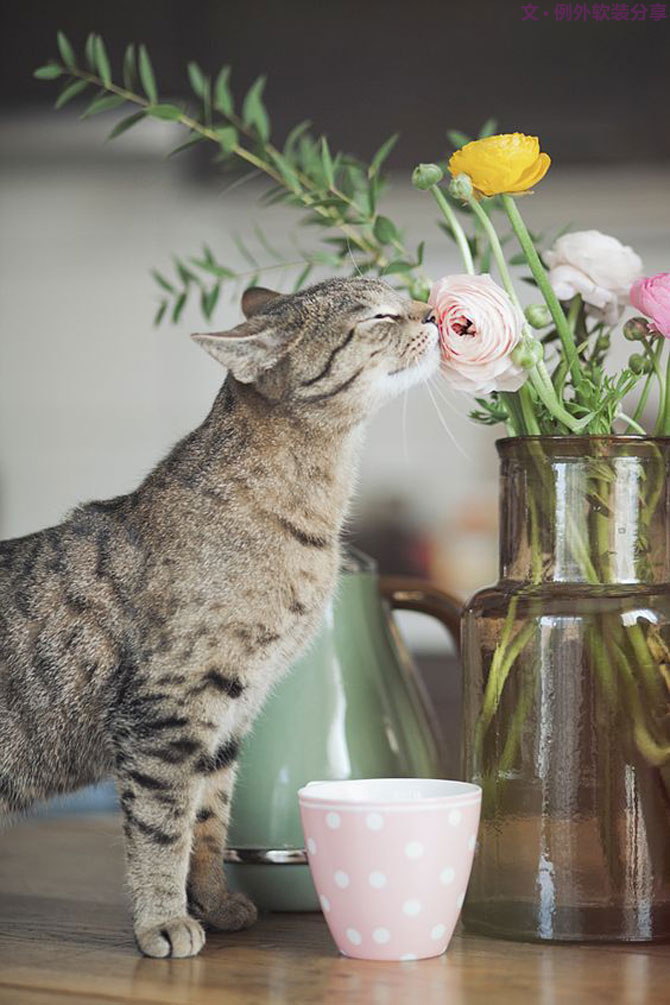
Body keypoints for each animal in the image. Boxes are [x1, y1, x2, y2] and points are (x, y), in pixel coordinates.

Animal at [1, 277, 439, 956]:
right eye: (380, 315)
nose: (438, 312)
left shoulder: (231, 710)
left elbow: (208, 820)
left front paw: (213, 901)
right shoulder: (168, 708)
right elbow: (162, 827)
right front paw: (162, 918)